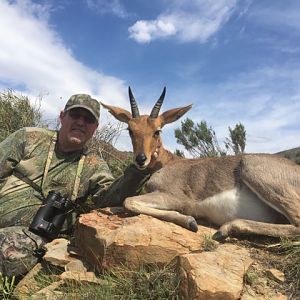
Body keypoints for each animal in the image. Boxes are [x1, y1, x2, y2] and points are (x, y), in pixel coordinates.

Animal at [101, 88, 300, 240]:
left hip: (254, 172)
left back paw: (225, 229)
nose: (141, 159)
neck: (168, 163)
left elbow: (128, 201)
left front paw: (190, 221)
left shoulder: (175, 198)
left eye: (157, 131)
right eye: (130, 130)